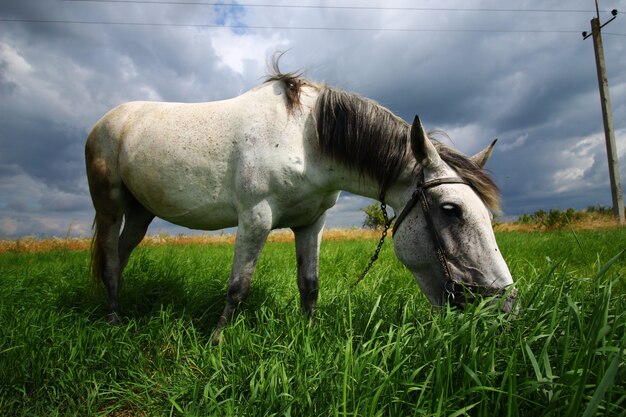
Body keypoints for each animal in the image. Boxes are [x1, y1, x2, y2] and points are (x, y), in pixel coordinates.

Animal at [85, 62, 516, 342]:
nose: (505, 307)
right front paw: (217, 342)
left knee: (121, 255)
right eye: (450, 210)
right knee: (110, 259)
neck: (305, 137)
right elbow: (238, 286)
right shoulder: (255, 219)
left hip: (141, 213)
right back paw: (113, 321)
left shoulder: (312, 222)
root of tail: (105, 122)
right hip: (109, 207)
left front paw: (309, 335)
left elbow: (310, 285)